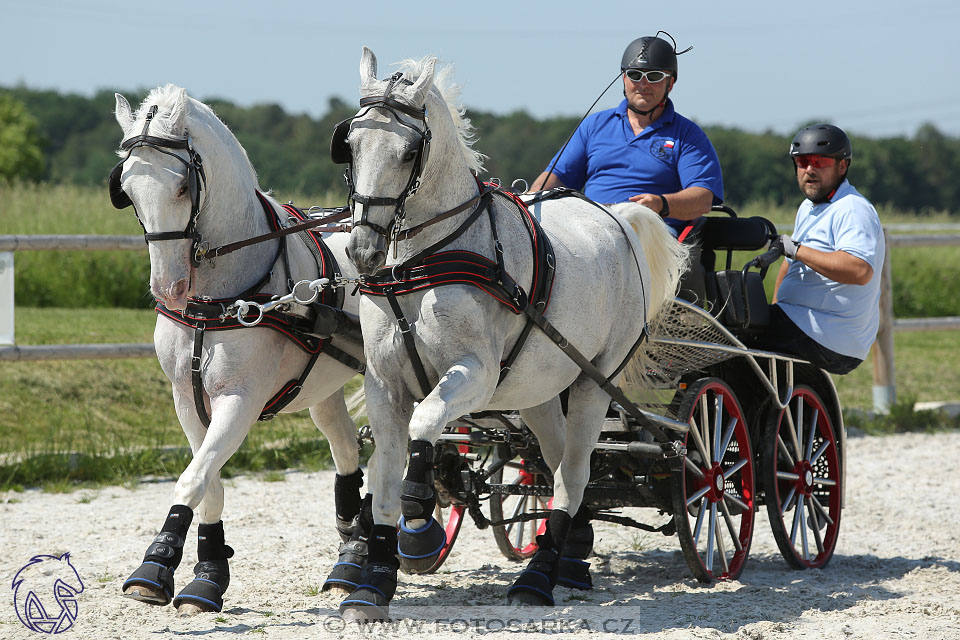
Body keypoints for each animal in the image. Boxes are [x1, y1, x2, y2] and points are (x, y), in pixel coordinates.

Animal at [109, 85, 370, 616]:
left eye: (182, 186)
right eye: (125, 189)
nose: (169, 290)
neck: (218, 298)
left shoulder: (241, 399)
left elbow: (192, 478)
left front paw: (155, 564)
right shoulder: (187, 399)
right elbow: (208, 481)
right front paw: (207, 574)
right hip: (324, 386)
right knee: (347, 448)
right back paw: (349, 555)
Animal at [334, 50, 688, 620]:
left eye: (410, 150)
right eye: (349, 143)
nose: (363, 251)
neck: (422, 262)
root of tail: (616, 218)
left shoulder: (475, 375)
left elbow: (425, 426)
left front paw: (420, 521)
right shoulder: (384, 385)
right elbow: (384, 479)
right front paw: (373, 584)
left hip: (593, 382)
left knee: (573, 473)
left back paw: (539, 577)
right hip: (538, 390)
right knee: (557, 461)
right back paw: (570, 556)